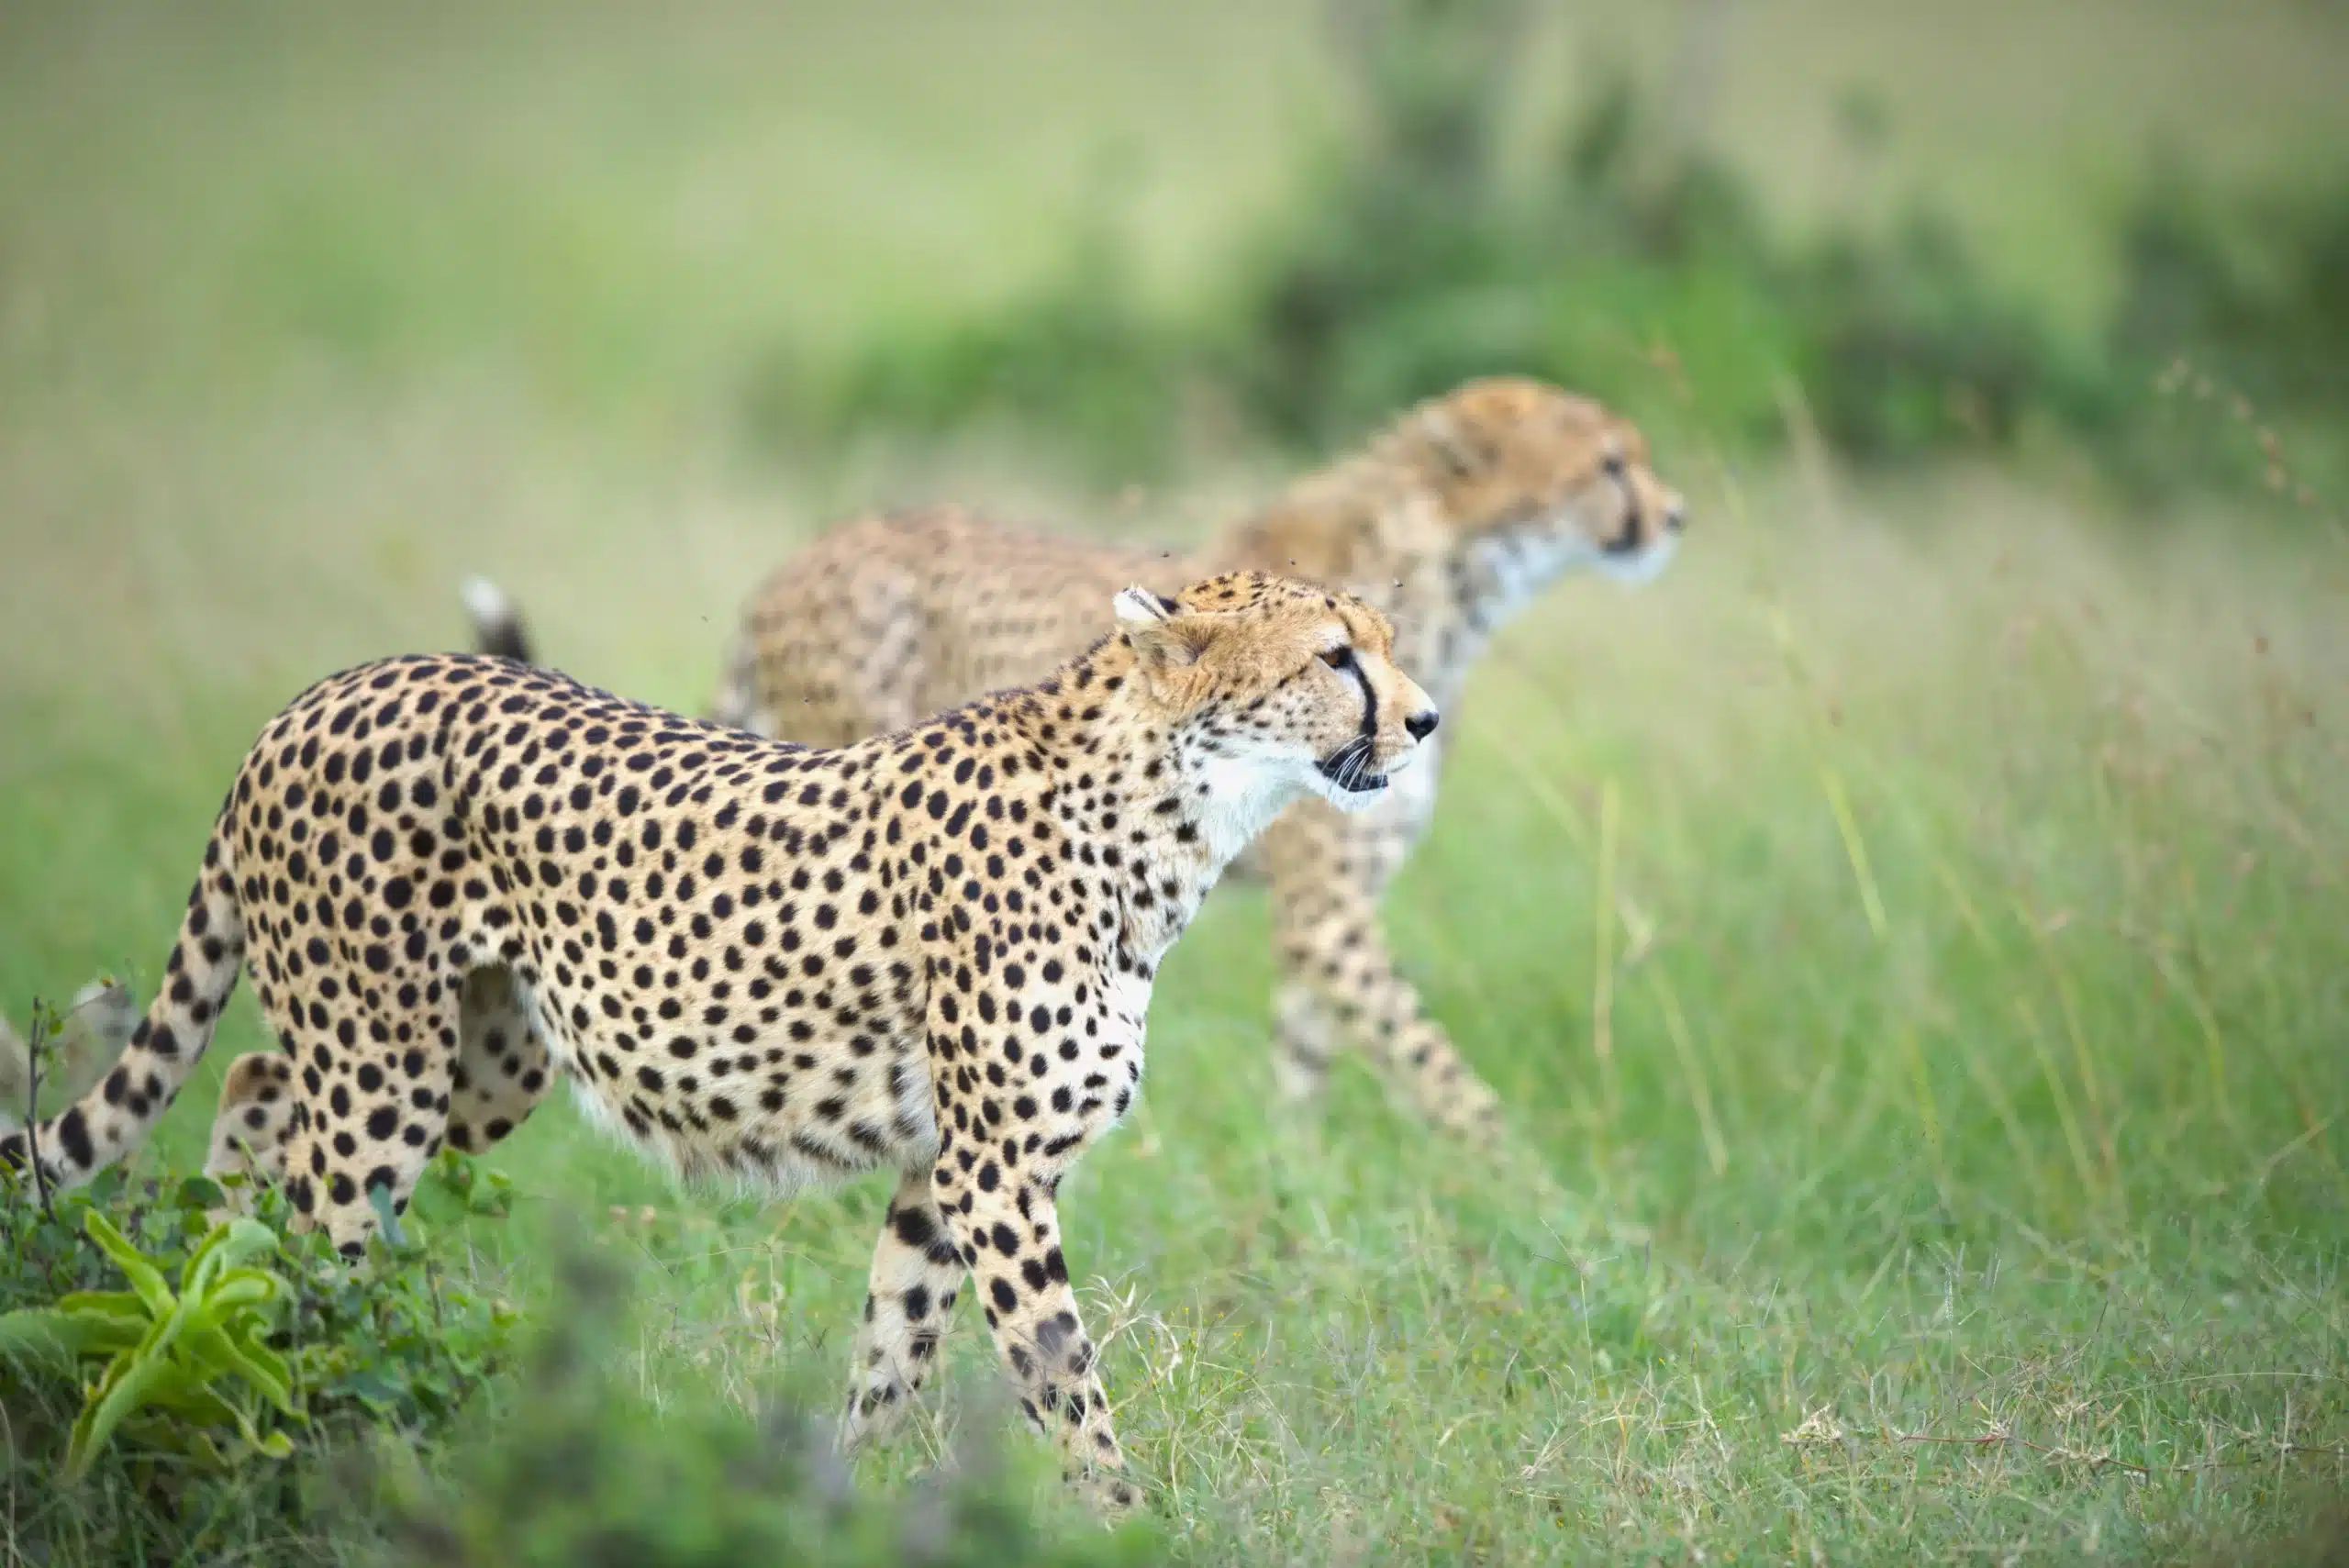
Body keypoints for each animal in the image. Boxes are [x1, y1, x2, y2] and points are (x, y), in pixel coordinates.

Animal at [5, 573, 1428, 1502]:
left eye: (1389, 643)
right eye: (1334, 656)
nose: (1419, 721)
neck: (1167, 812)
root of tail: (326, 690)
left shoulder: (941, 1171)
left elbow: (893, 1348)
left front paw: (836, 1496)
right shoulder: (997, 1171)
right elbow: (1064, 1376)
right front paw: (1127, 1522)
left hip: (485, 1055)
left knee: (253, 1084)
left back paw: (205, 1286)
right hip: (383, 1067)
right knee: (321, 1213)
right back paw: (292, 1396)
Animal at [467, 375, 1681, 1140]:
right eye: (1609, 462)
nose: (1673, 514)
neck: (1452, 573)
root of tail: (802, 557)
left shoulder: (1321, 912)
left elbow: (1309, 1062)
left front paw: (1301, 1178)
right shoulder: (1326, 906)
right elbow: (1439, 1071)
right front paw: (1547, 1196)